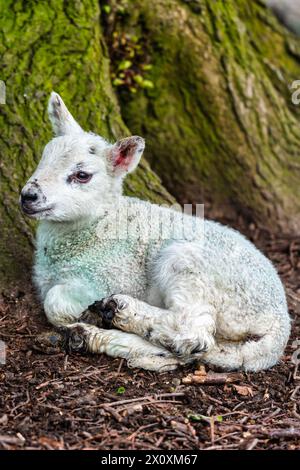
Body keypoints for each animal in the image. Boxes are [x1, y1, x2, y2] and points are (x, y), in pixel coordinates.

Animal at [19, 92, 290, 370]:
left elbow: (54, 302)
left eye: (82, 175)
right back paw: (97, 337)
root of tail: (280, 324)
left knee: (194, 333)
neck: (96, 224)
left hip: (193, 268)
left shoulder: (111, 276)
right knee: (200, 348)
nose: (28, 196)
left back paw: (119, 310)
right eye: (43, 158)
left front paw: (84, 313)